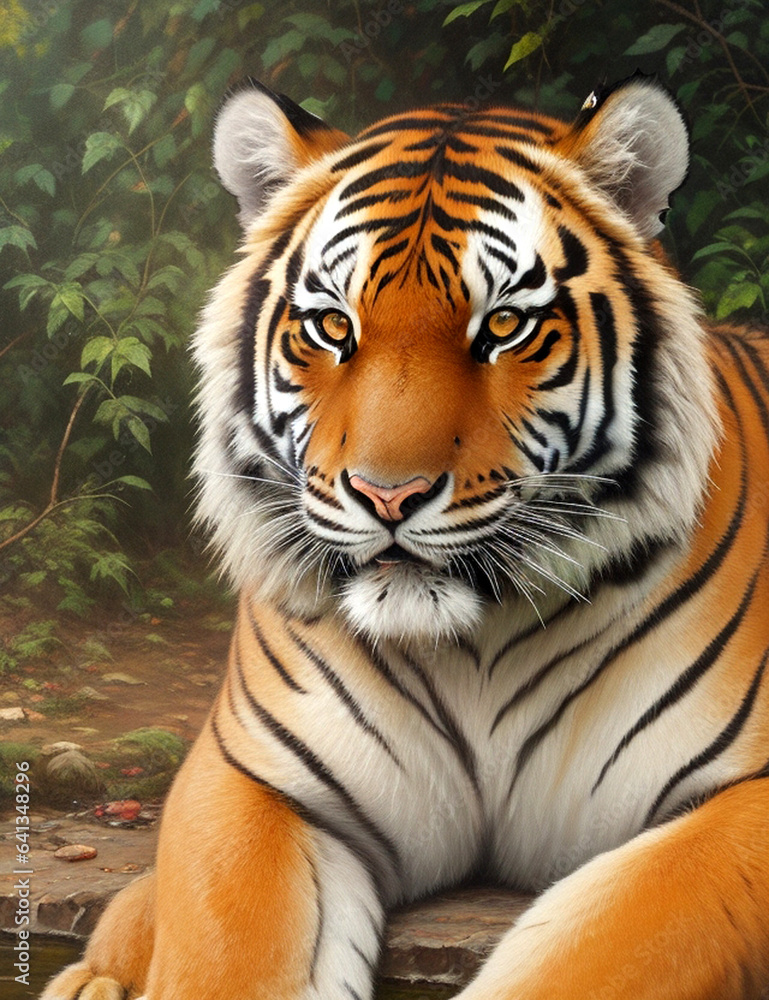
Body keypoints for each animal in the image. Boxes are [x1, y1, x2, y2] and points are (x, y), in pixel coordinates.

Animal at [42, 74, 769, 1000]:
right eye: (331, 328)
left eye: (503, 327)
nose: (387, 495)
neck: (475, 647)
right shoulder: (256, 780)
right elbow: (224, 951)